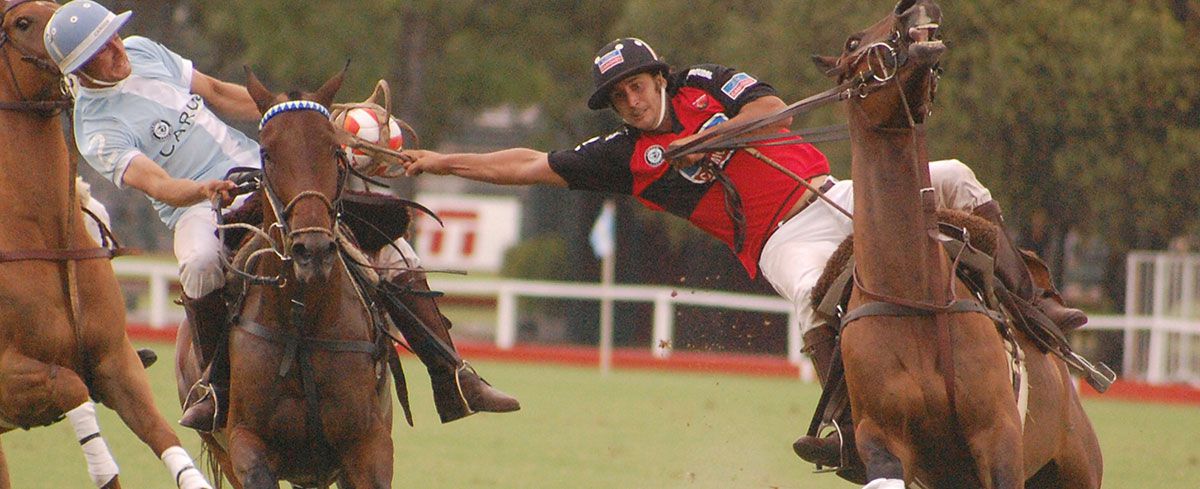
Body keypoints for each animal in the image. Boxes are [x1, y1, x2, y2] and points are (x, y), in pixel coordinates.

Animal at [0, 0, 211, 488]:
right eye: (21, 23)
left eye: (54, 7)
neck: (43, 232)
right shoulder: (8, 377)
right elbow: (71, 386)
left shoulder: (118, 362)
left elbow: (166, 438)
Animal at [177, 68, 393, 488]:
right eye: (267, 152)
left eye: (334, 149)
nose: (313, 250)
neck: (303, 324)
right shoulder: (245, 441)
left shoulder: (368, 442)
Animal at [811, 0, 1099, 488]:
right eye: (852, 42)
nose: (910, 8)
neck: (916, 298)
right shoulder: (882, 438)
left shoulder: (998, 435)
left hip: (1076, 464)